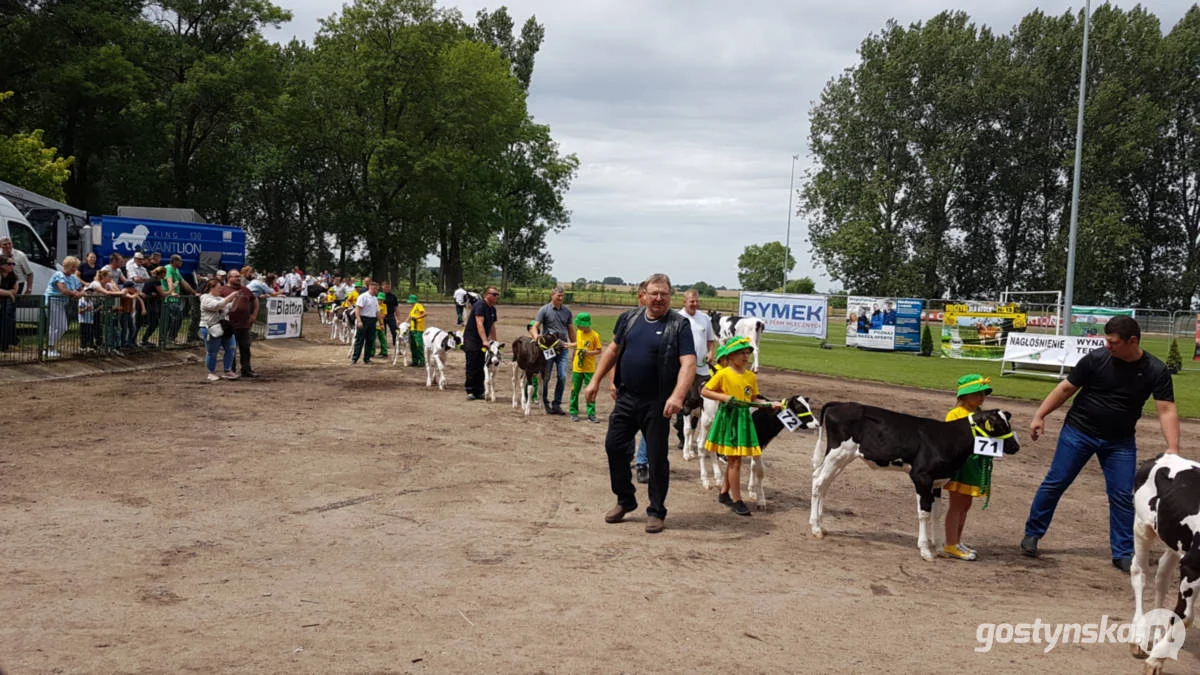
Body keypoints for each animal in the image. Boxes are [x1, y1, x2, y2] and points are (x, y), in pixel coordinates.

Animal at [806, 401, 1022, 559]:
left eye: (1008, 423)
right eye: (999, 425)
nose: (1016, 446)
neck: (947, 438)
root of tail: (840, 403)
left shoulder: (937, 481)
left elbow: (937, 513)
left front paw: (938, 547)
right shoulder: (921, 476)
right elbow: (924, 513)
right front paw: (925, 550)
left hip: (840, 457)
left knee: (821, 480)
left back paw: (820, 524)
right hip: (838, 453)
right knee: (819, 482)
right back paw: (816, 528)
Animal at [1128, 451, 1195, 672]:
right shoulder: (1192, 568)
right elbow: (1185, 616)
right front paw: (1156, 660)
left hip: (1174, 544)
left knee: (1162, 578)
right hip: (1142, 527)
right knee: (1139, 573)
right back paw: (1139, 638)